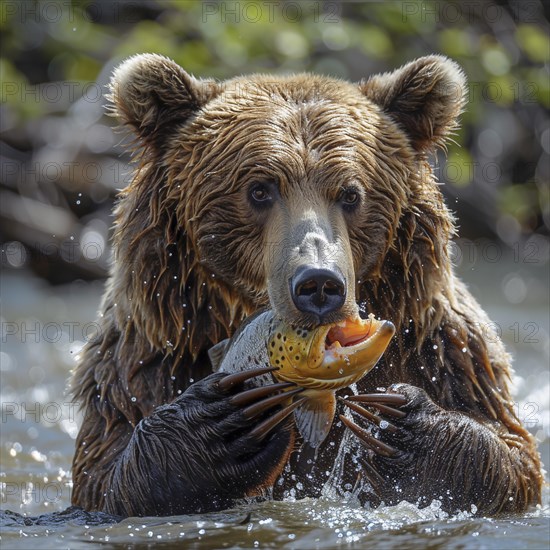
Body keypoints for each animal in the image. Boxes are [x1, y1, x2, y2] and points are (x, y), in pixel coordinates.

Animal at [71, 54, 544, 520]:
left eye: (351, 193)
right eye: (259, 190)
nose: (318, 282)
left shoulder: (445, 349)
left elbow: (511, 459)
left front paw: (399, 425)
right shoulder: (150, 355)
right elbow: (107, 472)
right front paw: (221, 426)